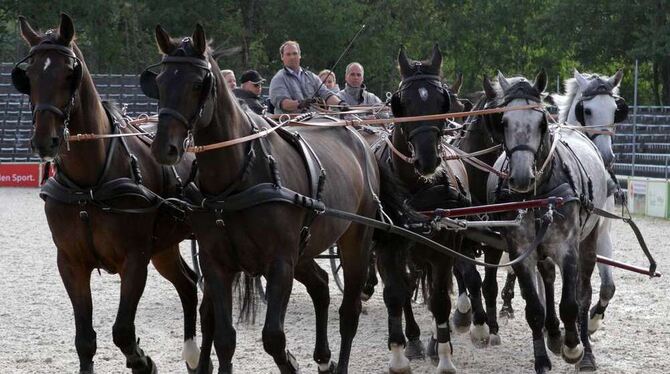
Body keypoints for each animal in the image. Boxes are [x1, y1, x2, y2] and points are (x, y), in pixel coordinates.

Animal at [12, 13, 200, 372]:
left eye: (69, 74)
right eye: (28, 76)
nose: (44, 141)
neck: (88, 185)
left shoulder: (135, 259)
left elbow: (123, 330)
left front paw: (143, 360)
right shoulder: (70, 262)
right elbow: (85, 340)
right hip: (165, 247)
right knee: (188, 283)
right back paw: (194, 354)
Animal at [144, 24, 386, 374]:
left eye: (197, 83)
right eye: (160, 82)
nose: (165, 147)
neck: (237, 178)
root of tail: (358, 136)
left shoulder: (280, 262)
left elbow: (273, 337)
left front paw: (290, 362)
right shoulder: (216, 264)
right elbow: (224, 338)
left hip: (355, 239)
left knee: (349, 311)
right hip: (304, 246)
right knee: (320, 285)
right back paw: (323, 358)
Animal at [552, 68, 632, 334]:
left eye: (615, 110)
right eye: (586, 110)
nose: (607, 156)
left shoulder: (602, 232)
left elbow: (608, 287)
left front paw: (595, 319)